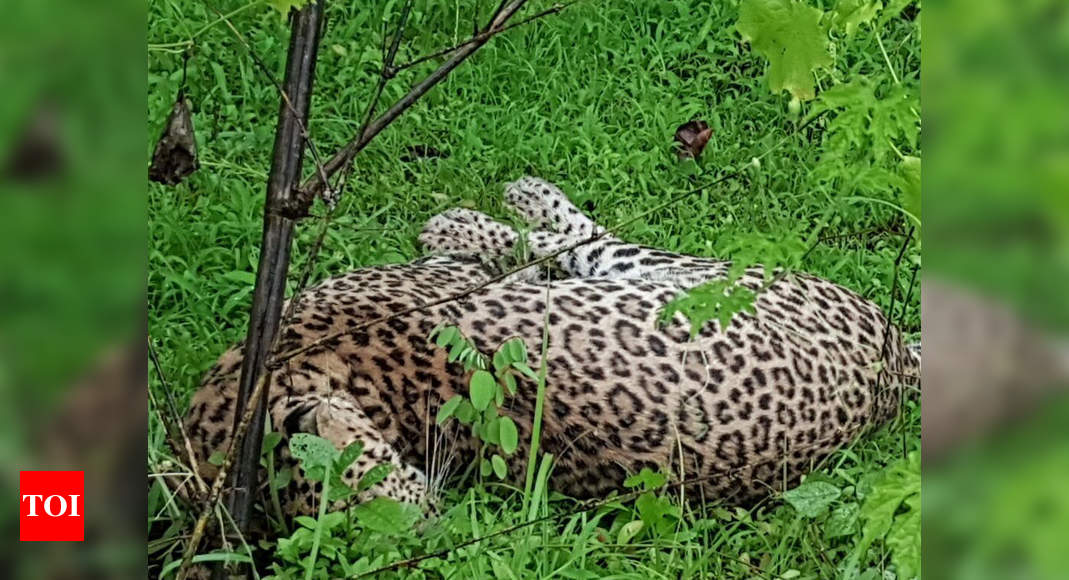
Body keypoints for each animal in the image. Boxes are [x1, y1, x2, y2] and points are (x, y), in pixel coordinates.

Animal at [183, 175, 919, 514]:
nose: (428, 521)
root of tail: (895, 368)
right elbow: (525, 260)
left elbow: (517, 258)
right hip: (696, 280)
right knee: (581, 244)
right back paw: (512, 205)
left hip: (701, 276)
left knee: (578, 241)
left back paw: (506, 201)